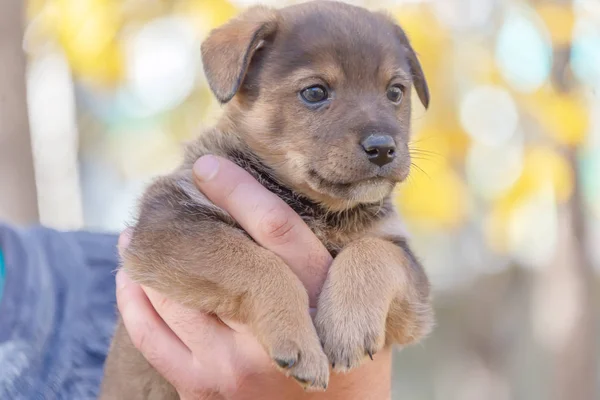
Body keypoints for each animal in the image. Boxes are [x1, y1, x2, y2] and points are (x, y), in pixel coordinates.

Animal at [101, 1, 434, 396]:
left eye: (395, 92)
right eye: (315, 92)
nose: (383, 148)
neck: (316, 208)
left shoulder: (408, 276)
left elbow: (374, 253)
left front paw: (348, 327)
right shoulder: (171, 224)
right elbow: (258, 263)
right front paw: (298, 341)